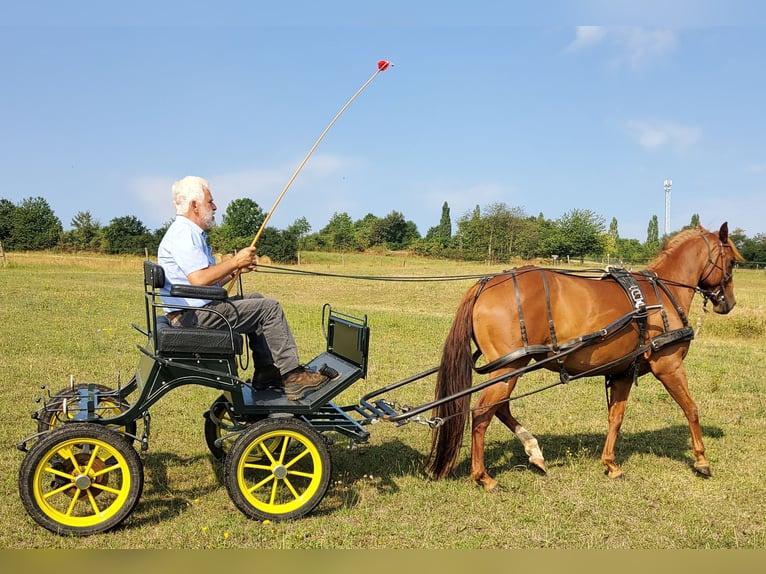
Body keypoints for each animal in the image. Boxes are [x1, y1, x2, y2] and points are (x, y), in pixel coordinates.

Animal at [427, 222, 743, 490]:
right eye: (730, 262)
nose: (729, 303)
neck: (660, 297)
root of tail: (485, 284)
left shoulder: (622, 371)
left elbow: (616, 417)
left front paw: (611, 464)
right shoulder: (669, 365)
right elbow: (691, 409)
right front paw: (701, 460)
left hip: (509, 367)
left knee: (500, 407)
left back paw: (533, 451)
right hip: (509, 366)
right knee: (482, 413)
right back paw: (484, 476)